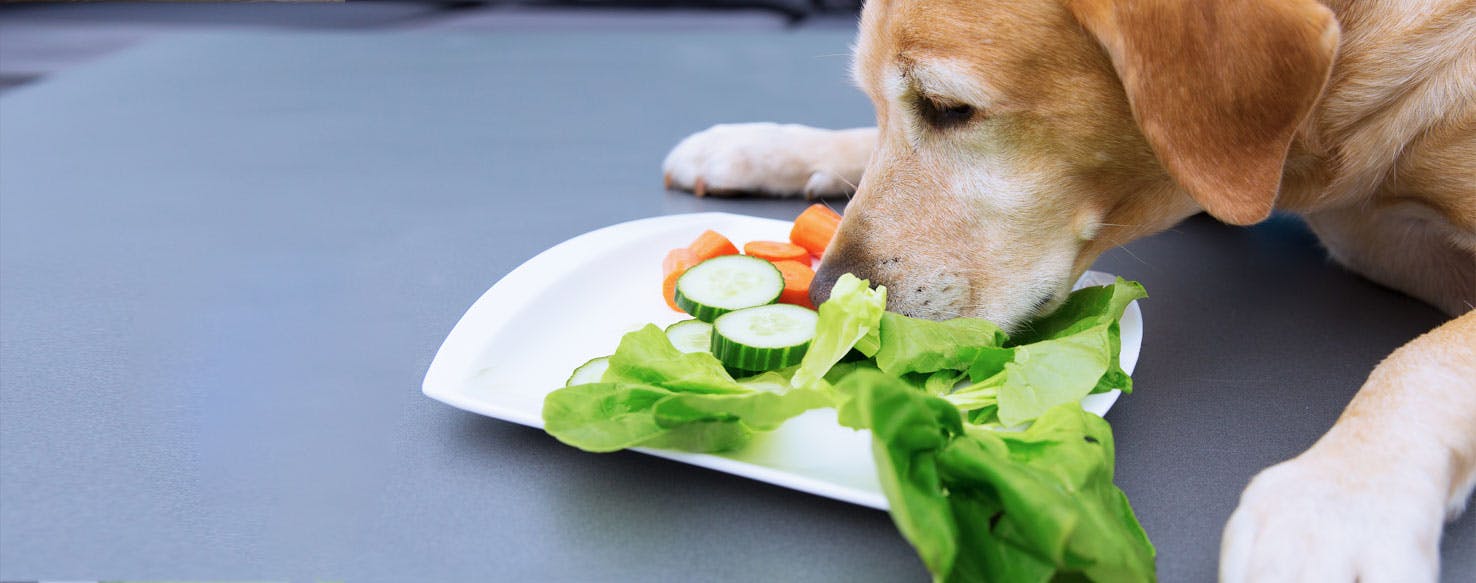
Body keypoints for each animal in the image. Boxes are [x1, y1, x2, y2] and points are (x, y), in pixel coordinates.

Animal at [661, 0, 1476, 578]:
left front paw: (1338, 502)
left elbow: (1425, 357)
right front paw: (771, 144)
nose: (827, 294)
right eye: (881, 102)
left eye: (949, 108)